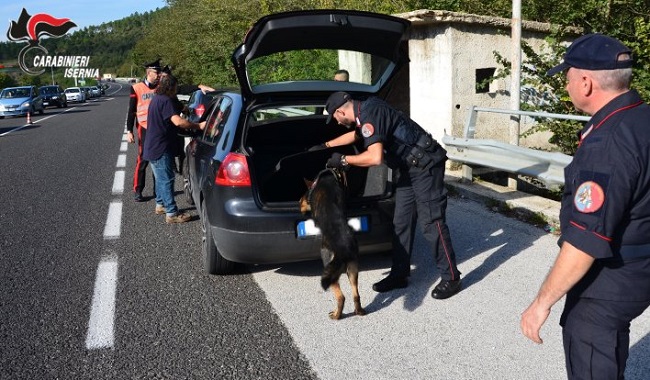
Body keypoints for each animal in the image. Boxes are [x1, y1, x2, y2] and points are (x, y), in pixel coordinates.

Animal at [298, 168, 364, 320]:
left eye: (302, 200)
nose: (299, 207)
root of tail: (345, 248)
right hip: (352, 269)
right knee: (356, 294)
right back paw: (359, 311)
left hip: (329, 268)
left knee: (341, 297)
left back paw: (336, 315)